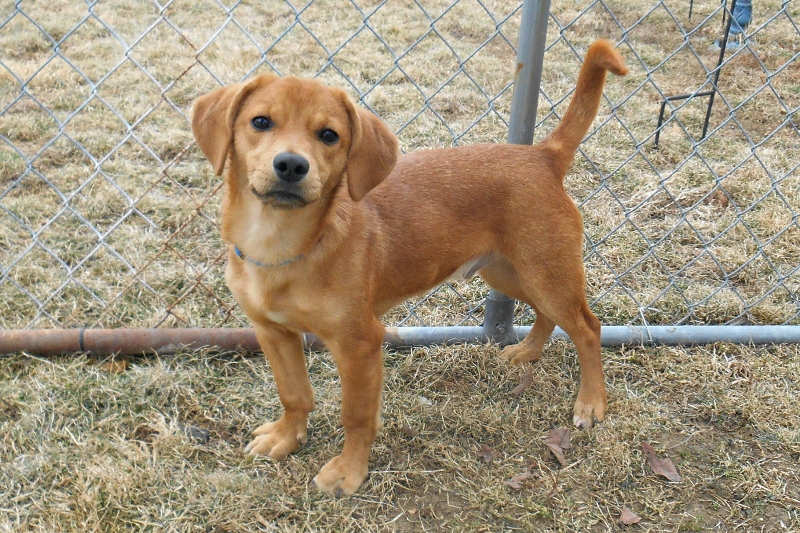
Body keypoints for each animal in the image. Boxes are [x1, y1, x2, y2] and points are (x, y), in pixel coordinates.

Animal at [191, 39, 628, 495]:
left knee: (587, 328)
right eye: (260, 122)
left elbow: (356, 415)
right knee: (548, 314)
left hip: (546, 270)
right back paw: (527, 352)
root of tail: (543, 155)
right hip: (511, 271)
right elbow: (293, 393)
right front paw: (286, 437)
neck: (282, 246)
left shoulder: (360, 344)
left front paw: (349, 471)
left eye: (329, 135)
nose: (292, 165)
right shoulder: (272, 332)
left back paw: (591, 403)